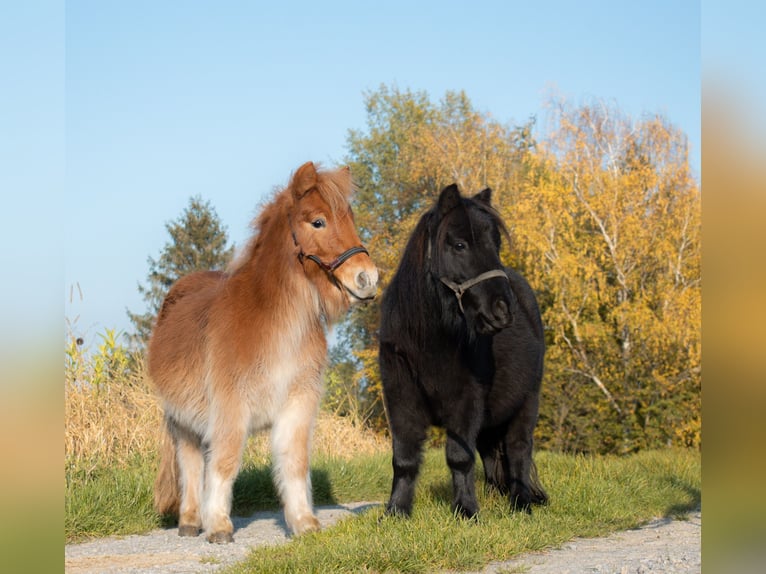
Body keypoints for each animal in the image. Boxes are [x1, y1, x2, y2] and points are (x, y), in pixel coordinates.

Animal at [147, 162, 378, 544]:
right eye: (318, 222)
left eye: (350, 218)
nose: (368, 279)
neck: (275, 327)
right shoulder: (230, 407)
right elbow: (225, 462)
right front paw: (219, 526)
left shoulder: (297, 403)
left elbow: (294, 462)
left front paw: (303, 522)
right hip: (184, 423)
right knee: (192, 465)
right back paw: (192, 520)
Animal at [380, 184, 548, 520]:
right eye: (459, 244)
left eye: (496, 243)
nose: (502, 311)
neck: (428, 342)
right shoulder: (400, 398)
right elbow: (404, 459)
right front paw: (396, 512)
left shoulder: (465, 400)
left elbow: (459, 456)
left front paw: (466, 511)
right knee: (492, 454)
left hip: (527, 401)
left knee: (519, 450)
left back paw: (520, 503)